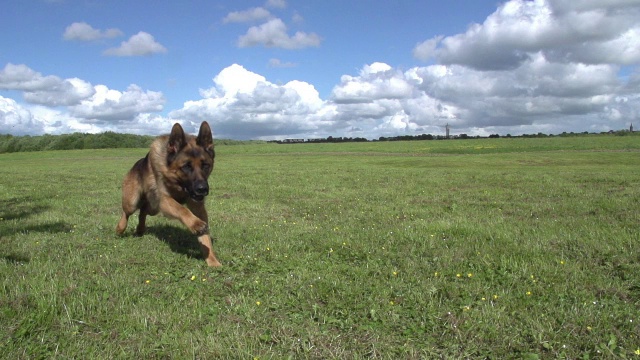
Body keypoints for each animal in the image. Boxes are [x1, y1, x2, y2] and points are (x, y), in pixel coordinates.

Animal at [117, 122, 222, 266]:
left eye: (205, 165)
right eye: (186, 166)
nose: (202, 189)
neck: (177, 184)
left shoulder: (197, 207)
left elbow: (205, 237)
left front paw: (212, 261)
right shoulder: (165, 201)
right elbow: (182, 209)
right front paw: (195, 224)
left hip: (153, 207)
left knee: (143, 211)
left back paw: (140, 229)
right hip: (132, 202)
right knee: (126, 212)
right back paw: (119, 228)